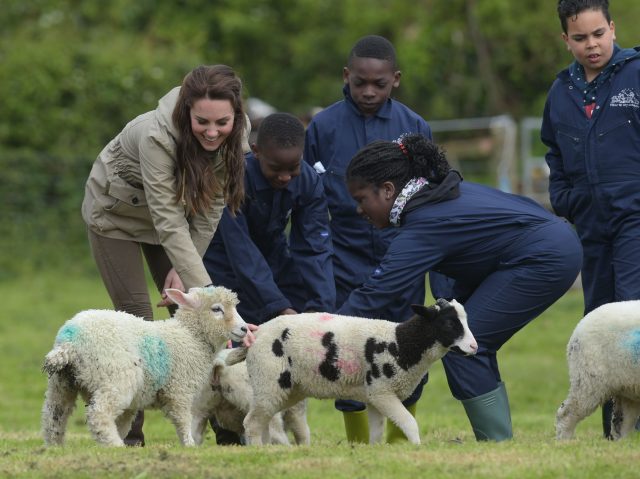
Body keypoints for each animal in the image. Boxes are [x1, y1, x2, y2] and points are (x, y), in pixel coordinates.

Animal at [41, 284, 249, 446]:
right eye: (217, 309)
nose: (245, 329)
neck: (190, 336)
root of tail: (69, 342)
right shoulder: (179, 390)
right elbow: (183, 420)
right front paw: (189, 444)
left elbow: (123, 423)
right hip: (116, 378)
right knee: (99, 415)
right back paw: (115, 445)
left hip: (61, 384)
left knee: (53, 418)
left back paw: (56, 447)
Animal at [225, 300, 476, 446]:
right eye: (450, 324)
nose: (474, 347)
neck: (401, 343)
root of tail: (257, 334)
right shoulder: (382, 391)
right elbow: (409, 423)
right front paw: (416, 450)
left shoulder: (375, 397)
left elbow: (377, 431)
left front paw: (377, 452)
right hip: (268, 378)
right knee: (252, 422)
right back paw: (259, 450)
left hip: (285, 388)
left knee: (264, 419)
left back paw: (268, 450)